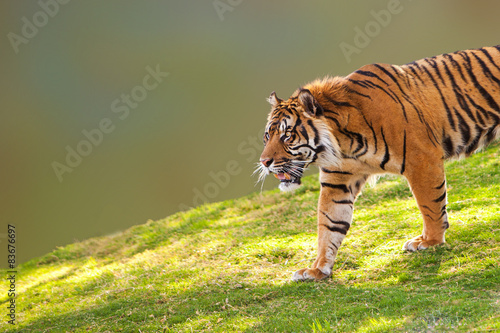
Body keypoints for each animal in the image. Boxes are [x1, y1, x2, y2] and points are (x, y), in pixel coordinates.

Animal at [258, 45, 500, 280]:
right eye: (267, 136)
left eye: (287, 136)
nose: (264, 161)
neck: (343, 144)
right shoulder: (337, 182)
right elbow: (329, 225)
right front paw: (317, 270)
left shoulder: (422, 160)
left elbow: (430, 204)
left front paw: (430, 241)